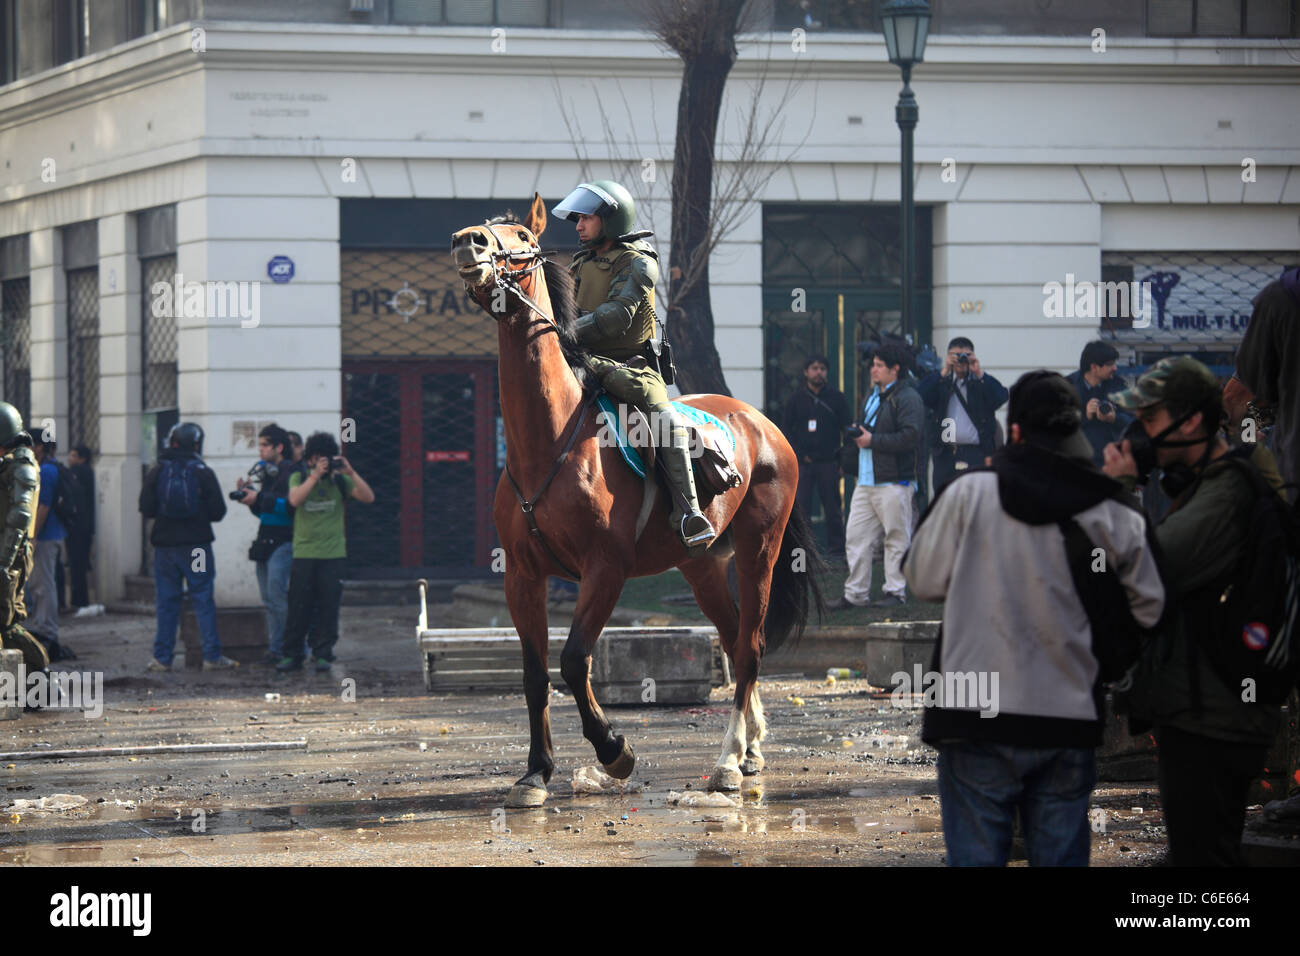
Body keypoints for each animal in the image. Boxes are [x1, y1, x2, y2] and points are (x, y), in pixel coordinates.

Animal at [451, 193, 822, 808]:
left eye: (521, 236)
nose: (468, 242)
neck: (550, 440)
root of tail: (764, 423)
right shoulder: (522, 576)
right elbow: (534, 674)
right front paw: (536, 772)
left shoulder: (606, 568)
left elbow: (574, 661)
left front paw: (614, 750)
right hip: (701, 565)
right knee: (732, 635)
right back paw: (750, 747)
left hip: (759, 551)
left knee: (750, 646)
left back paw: (727, 762)